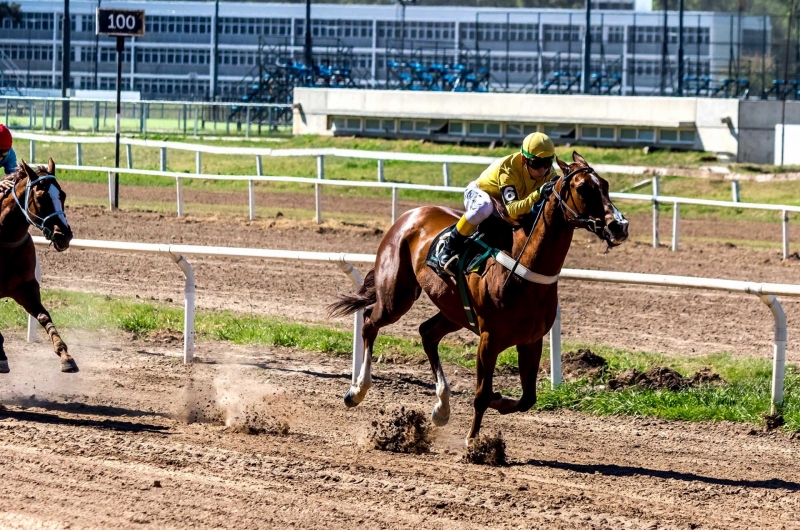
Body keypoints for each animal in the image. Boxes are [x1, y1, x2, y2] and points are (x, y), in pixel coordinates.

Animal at [0, 160, 76, 372]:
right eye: (41, 197)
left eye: (62, 195)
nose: (64, 235)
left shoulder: (26, 288)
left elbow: (43, 316)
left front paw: (65, 355)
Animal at [328, 151, 628, 440]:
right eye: (583, 188)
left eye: (605, 185)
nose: (619, 226)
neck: (524, 269)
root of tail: (410, 214)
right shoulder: (489, 339)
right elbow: (481, 395)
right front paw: (473, 442)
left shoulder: (531, 341)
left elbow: (527, 399)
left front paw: (498, 400)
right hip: (396, 296)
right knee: (370, 322)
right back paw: (357, 391)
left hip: (453, 311)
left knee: (427, 333)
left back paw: (442, 408)